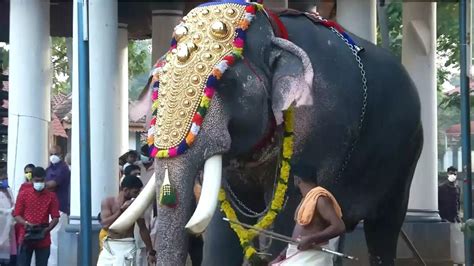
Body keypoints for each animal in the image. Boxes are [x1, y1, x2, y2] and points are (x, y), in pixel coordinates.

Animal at [110, 1, 422, 264]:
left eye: (225, 83)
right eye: (156, 84)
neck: (271, 29)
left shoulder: (318, 129)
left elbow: (289, 210)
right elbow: (226, 224)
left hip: (406, 157)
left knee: (385, 226)